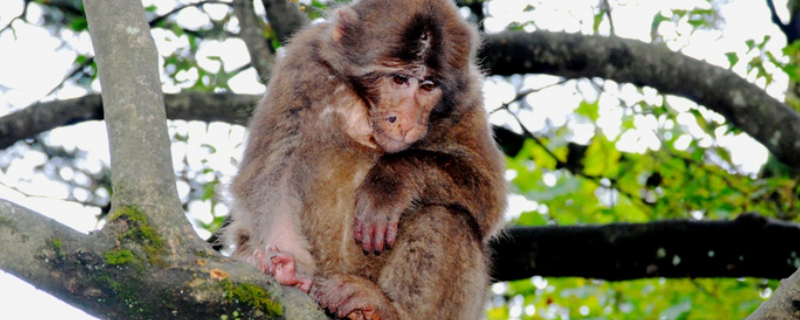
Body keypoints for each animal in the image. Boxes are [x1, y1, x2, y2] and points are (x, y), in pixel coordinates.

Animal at [220, 1, 506, 318]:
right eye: (399, 79)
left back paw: (385, 308)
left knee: (449, 215)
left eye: (428, 85)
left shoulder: (468, 101)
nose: (405, 119)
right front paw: (289, 268)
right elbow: (271, 174)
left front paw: (389, 184)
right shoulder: (302, 65)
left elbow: (489, 197)